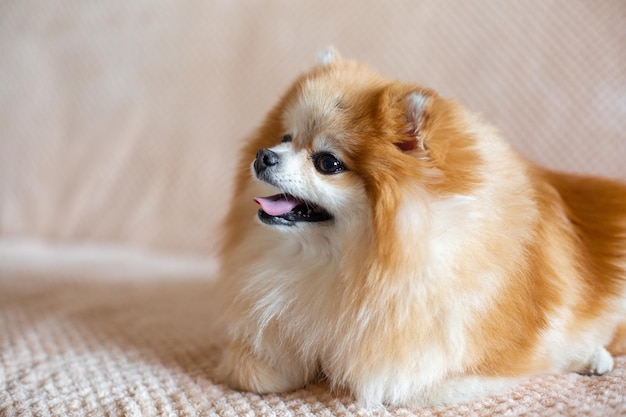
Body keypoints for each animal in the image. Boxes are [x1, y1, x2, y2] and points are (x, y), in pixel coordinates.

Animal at [214, 49, 624, 406]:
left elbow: (398, 383)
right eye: (285, 138)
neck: (351, 259)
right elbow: (252, 371)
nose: (264, 156)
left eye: (328, 163)